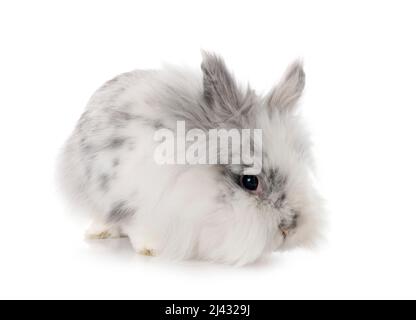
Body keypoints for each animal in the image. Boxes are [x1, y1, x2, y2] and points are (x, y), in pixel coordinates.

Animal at [58, 52, 324, 266]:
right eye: (250, 182)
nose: (289, 229)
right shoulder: (134, 200)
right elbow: (138, 226)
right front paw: (151, 249)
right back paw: (99, 233)